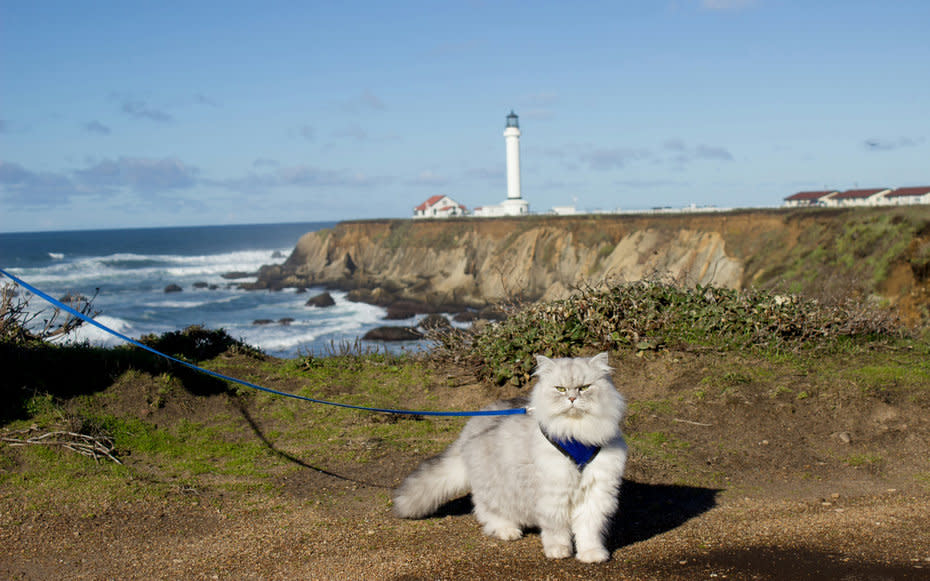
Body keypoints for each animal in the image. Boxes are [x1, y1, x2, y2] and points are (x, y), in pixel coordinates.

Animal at [388, 352, 628, 560]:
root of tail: (469, 427)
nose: (571, 398)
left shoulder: (596, 491)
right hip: (495, 489)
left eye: (584, 388)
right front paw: (558, 551)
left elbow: (588, 530)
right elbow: (556, 529)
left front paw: (591, 554)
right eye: (560, 389)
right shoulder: (554, 492)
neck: (577, 433)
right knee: (487, 512)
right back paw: (507, 530)